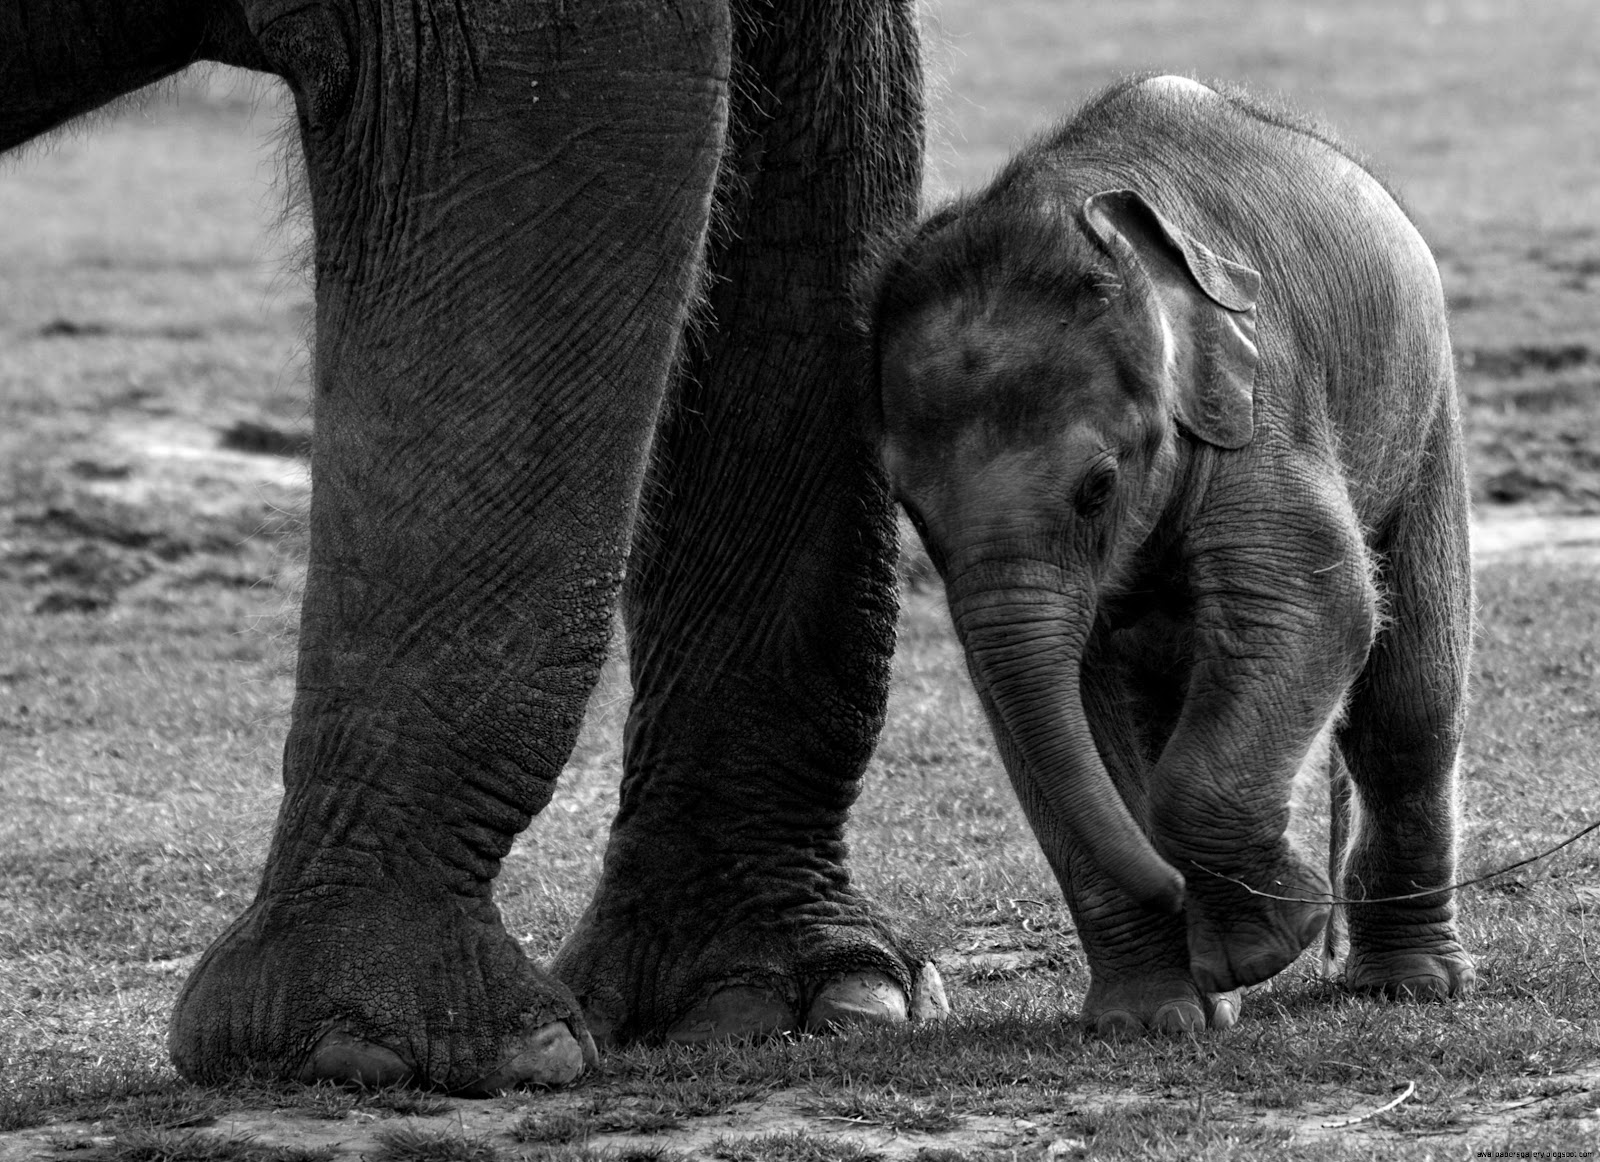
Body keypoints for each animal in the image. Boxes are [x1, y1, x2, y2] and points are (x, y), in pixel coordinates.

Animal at [861, 75, 1477, 1034]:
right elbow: (1051, 706)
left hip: (1425, 411)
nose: (1180, 893)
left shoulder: (1259, 401)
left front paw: (1262, 946)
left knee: (1408, 704)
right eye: (911, 508)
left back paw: (1408, 984)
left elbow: (1314, 599)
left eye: (1098, 487)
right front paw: (1150, 1019)